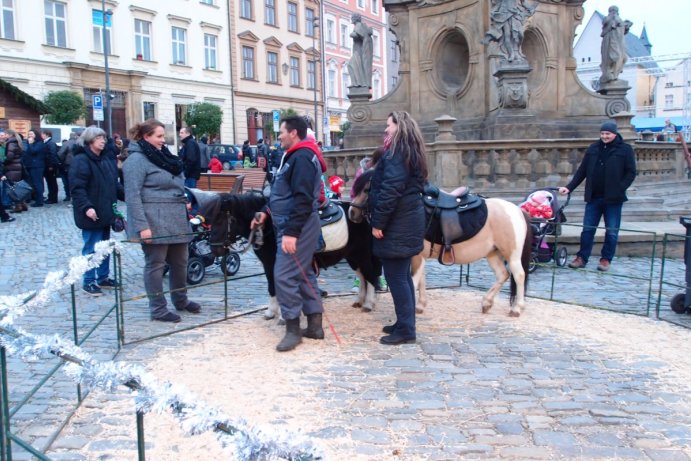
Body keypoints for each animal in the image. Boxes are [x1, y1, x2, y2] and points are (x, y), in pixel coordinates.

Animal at [209, 190, 384, 316]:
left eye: (221, 220)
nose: (214, 249)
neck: (270, 227)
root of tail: (363, 214)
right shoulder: (268, 265)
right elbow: (272, 286)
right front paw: (271, 312)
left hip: (363, 255)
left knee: (370, 276)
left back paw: (368, 303)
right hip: (352, 256)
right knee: (362, 276)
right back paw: (359, 300)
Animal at [352, 169, 536, 316]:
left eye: (367, 189)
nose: (352, 212)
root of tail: (517, 210)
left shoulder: (416, 257)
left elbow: (413, 281)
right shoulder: (419, 256)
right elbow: (422, 280)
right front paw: (420, 306)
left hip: (511, 255)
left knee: (519, 275)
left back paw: (517, 308)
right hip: (492, 253)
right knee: (502, 274)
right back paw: (486, 303)